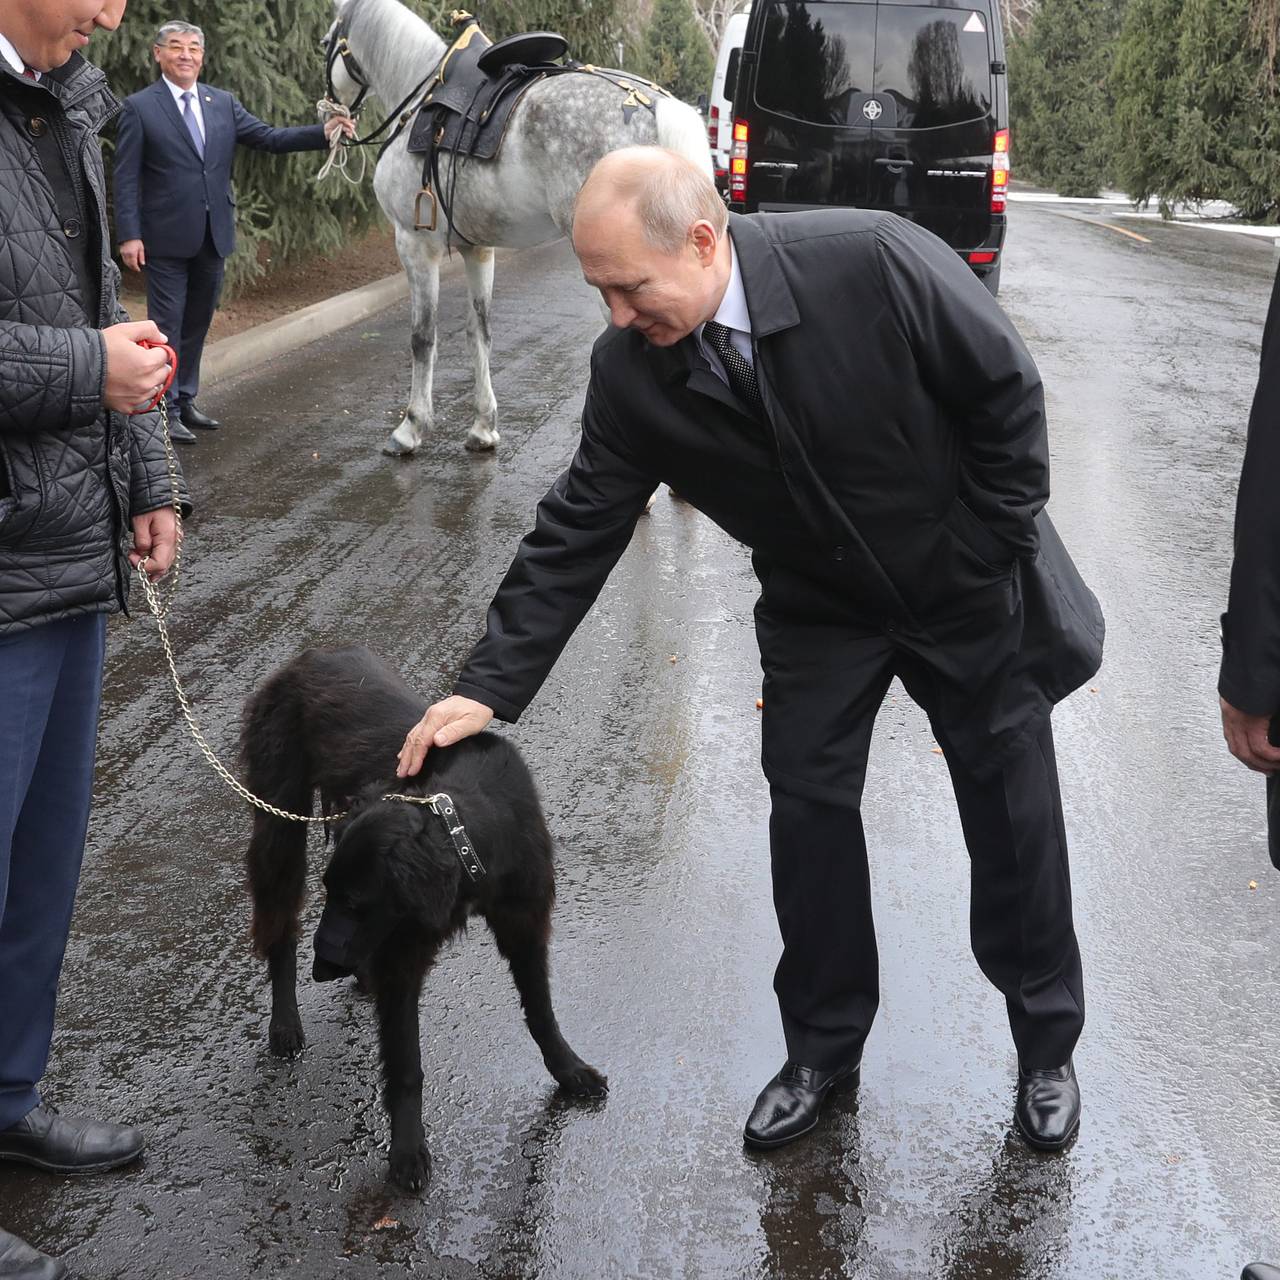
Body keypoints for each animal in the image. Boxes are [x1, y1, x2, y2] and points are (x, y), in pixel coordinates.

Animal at [240, 645, 609, 1192]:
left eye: (356, 902)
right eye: (333, 894)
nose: (322, 971)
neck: (461, 826)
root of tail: (309, 657)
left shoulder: (525, 923)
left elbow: (541, 1011)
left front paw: (569, 1070)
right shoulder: (404, 959)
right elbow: (407, 1066)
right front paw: (408, 1151)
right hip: (279, 824)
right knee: (279, 927)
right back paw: (285, 1022)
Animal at [325, 0, 716, 458]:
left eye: (325, 42)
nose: (329, 110)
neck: (421, 101)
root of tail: (655, 106)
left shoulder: (415, 244)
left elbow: (423, 338)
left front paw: (411, 427)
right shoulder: (478, 249)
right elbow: (480, 331)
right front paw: (483, 427)